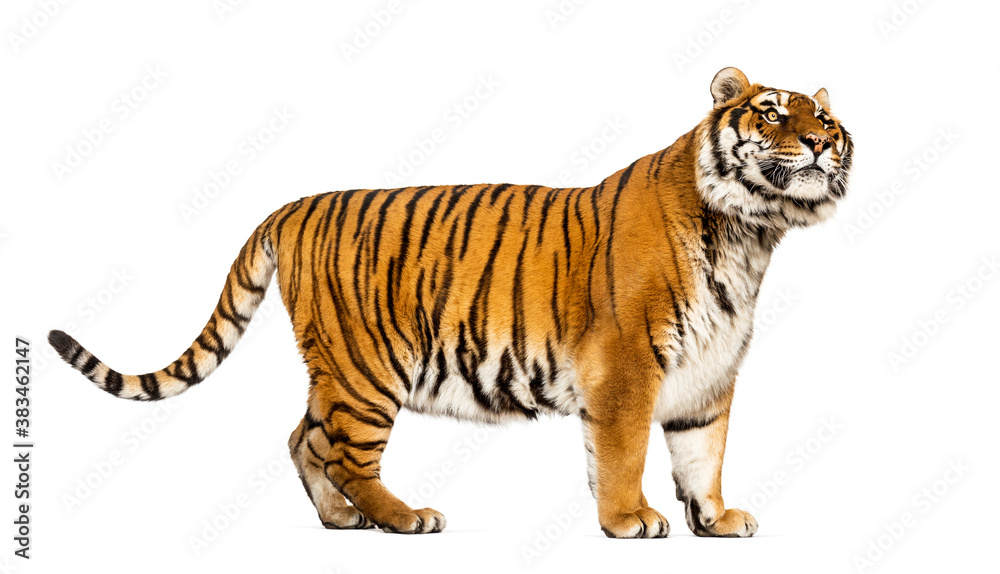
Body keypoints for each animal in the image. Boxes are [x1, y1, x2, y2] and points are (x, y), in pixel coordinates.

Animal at [49, 67, 852, 538]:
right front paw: (630, 520)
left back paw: (340, 520)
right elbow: (623, 453)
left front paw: (715, 520)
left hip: (335, 371)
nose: (818, 142)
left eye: (825, 121)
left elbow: (702, 452)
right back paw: (402, 517)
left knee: (304, 438)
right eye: (771, 113)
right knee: (344, 453)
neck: (751, 233)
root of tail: (291, 206)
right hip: (366, 371)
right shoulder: (625, 365)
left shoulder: (709, 373)